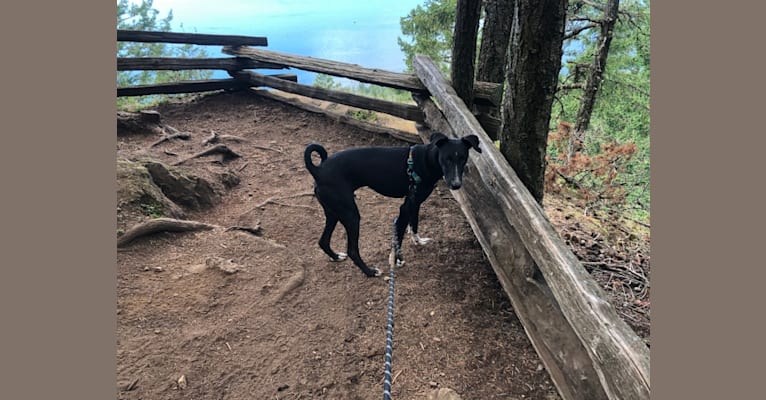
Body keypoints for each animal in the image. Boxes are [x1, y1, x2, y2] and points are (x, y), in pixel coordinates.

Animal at [304, 133, 480, 276]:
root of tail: (318, 170)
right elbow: (399, 237)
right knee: (352, 250)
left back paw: (335, 256)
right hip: (351, 215)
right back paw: (370, 272)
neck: (426, 159)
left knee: (323, 241)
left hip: (334, 212)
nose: (456, 185)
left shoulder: (414, 203)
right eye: (446, 158)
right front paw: (398, 260)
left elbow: (414, 224)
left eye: (463, 158)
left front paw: (417, 241)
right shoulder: (405, 209)